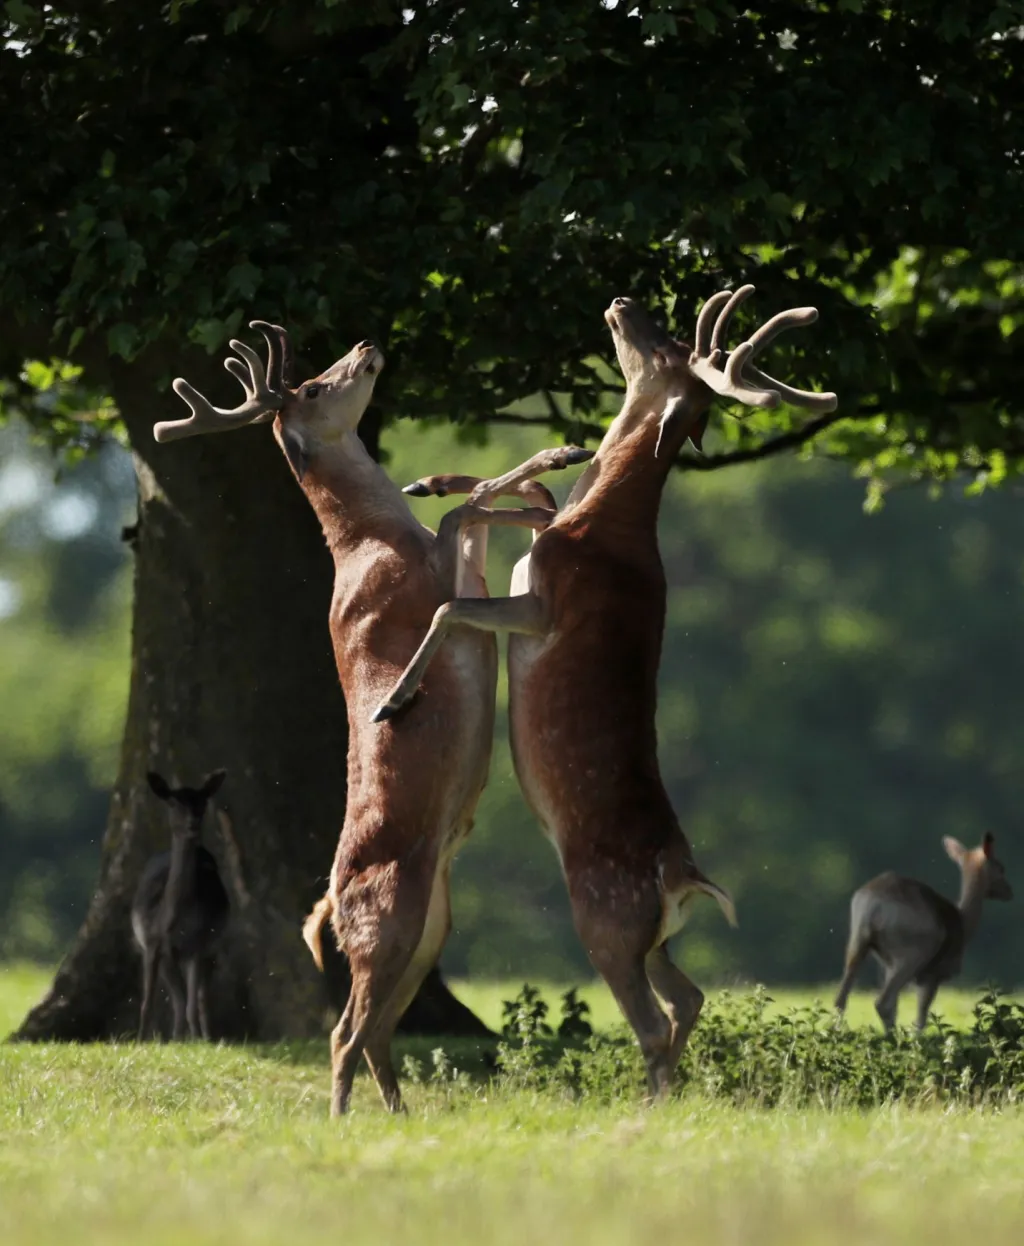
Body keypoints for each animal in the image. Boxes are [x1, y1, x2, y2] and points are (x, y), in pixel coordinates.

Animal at [132, 767, 230, 1041]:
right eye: (173, 802)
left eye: (203, 802)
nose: (192, 823)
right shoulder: (152, 944)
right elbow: (148, 1001)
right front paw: (141, 1039)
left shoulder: (197, 944)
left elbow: (191, 1003)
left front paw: (196, 1040)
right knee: (178, 998)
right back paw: (177, 1036)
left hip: (213, 947)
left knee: (200, 998)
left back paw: (204, 1036)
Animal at [158, 326, 592, 1116]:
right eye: (313, 387)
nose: (364, 344)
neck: (374, 541)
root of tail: (331, 901)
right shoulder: (425, 582)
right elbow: (468, 510)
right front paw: (556, 456)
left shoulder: (461, 570)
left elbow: (477, 512)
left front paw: (537, 481)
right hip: (386, 920)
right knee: (343, 1032)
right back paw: (342, 1119)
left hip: (427, 929)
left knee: (376, 1034)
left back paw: (396, 1115)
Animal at [376, 285, 842, 1101]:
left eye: (665, 349)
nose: (625, 301)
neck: (606, 523)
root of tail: (684, 878)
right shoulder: (541, 552)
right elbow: (533, 497)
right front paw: (431, 481)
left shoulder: (545, 605)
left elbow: (449, 604)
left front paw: (394, 700)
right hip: (650, 937)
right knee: (689, 996)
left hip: (606, 921)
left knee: (652, 1017)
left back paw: (650, 1105)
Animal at [837, 837, 1016, 1031]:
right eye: (1001, 868)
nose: (1009, 891)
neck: (964, 923)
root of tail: (875, 903)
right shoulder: (933, 974)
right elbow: (921, 1019)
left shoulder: (886, 967)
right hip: (913, 952)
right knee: (883, 1003)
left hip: (858, 941)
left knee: (842, 999)